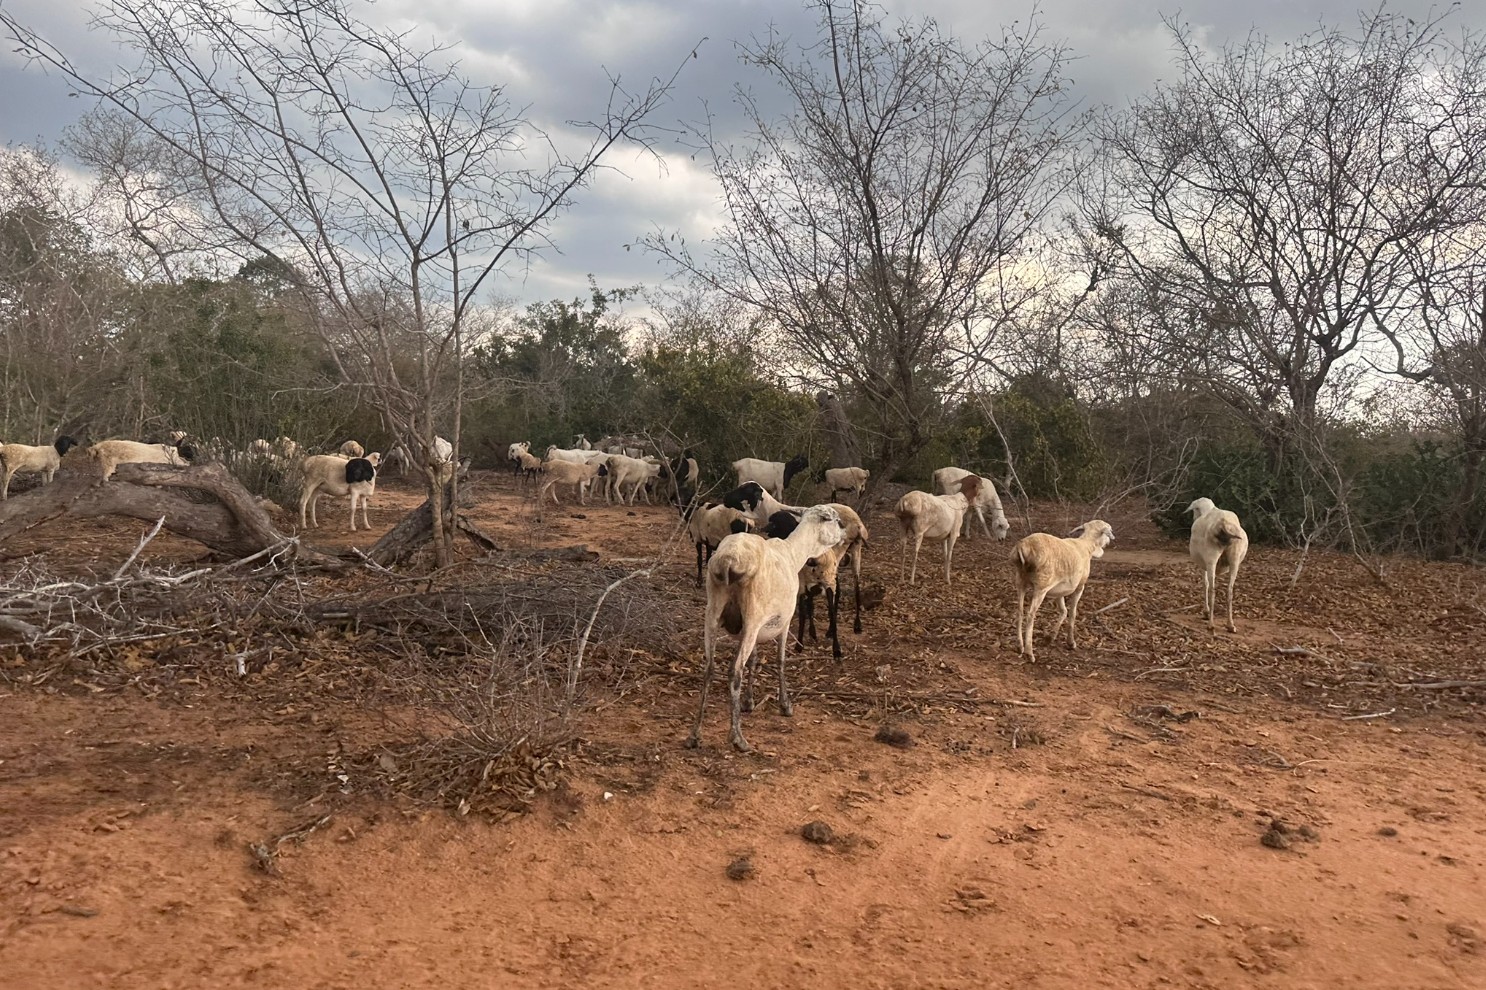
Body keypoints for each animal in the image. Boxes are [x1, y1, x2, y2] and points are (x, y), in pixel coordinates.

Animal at [688, 504, 846, 752]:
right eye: (836, 520)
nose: (844, 534)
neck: (794, 554)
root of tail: (729, 560)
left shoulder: (750, 630)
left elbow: (754, 660)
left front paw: (749, 702)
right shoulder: (785, 620)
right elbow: (781, 660)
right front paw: (785, 705)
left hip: (713, 612)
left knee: (710, 668)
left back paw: (695, 734)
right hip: (752, 613)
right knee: (734, 671)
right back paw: (738, 738)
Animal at [1011, 520, 1116, 661]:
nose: (1109, 541)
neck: (1087, 545)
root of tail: (1023, 546)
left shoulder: (1058, 590)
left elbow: (1063, 611)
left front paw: (1050, 637)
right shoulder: (1080, 587)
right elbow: (1072, 613)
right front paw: (1071, 642)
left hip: (1020, 580)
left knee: (1019, 611)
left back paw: (1019, 646)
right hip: (1041, 586)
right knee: (1030, 615)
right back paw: (1029, 652)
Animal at [1187, 497, 1249, 633]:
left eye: (1195, 509)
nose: (1193, 518)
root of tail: (1223, 524)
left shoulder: (1203, 565)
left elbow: (1204, 584)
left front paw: (1205, 612)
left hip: (1211, 558)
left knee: (1212, 589)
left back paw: (1211, 624)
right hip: (1234, 559)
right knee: (1229, 590)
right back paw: (1230, 625)